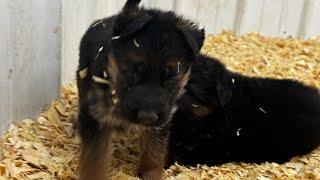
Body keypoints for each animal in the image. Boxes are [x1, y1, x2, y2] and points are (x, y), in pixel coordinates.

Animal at [76, 0, 204, 179]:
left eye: (171, 78)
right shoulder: (96, 118)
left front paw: (151, 175)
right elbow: (95, 160)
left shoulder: (161, 123)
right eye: (131, 72)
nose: (147, 117)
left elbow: (154, 153)